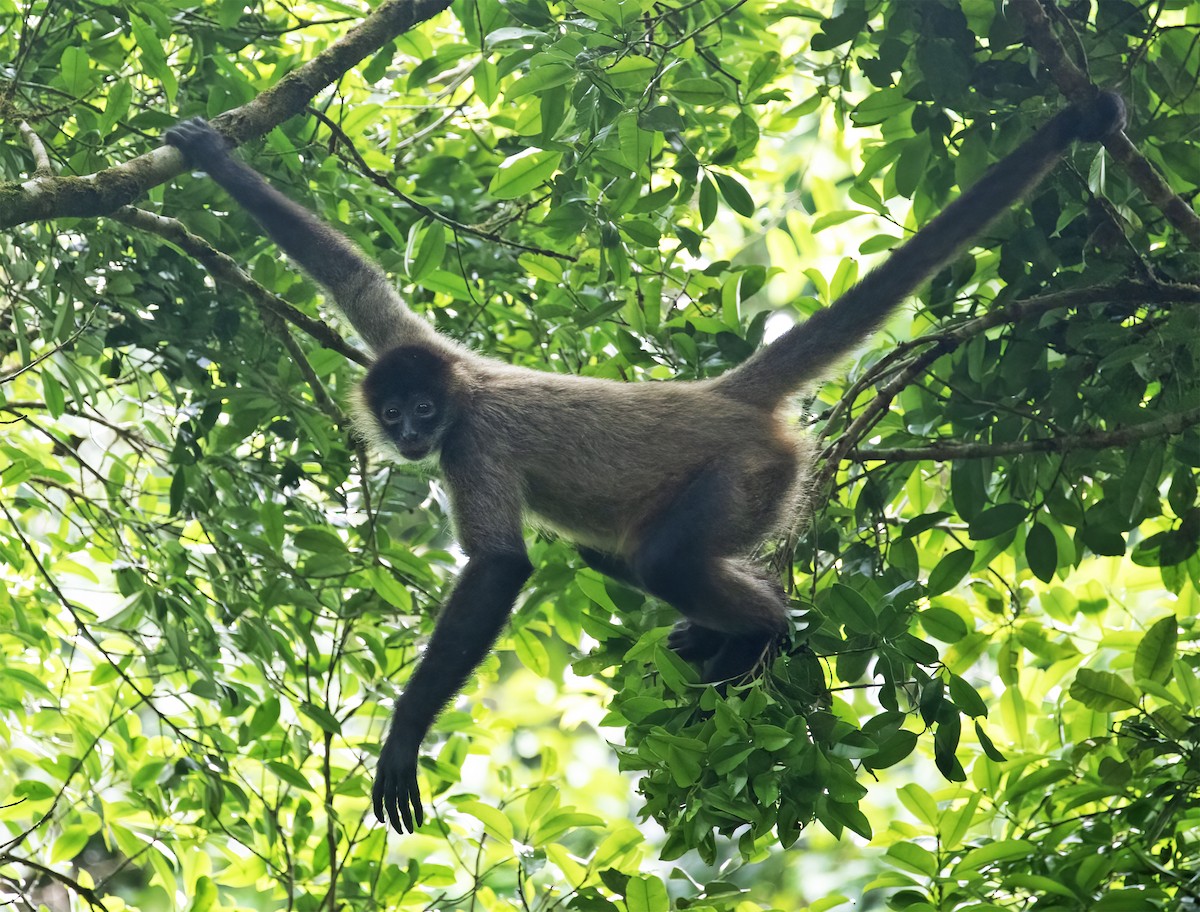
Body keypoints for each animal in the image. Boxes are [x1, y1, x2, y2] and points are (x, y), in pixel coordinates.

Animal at [163, 90, 1126, 834]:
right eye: (394, 408)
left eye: (425, 414)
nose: (406, 435)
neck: (464, 393)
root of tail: (723, 395)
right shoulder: (413, 346)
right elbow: (352, 273)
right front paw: (214, 158)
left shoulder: (472, 440)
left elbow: (501, 563)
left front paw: (402, 743)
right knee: (621, 556)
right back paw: (727, 634)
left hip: (747, 473)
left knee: (661, 559)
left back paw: (764, 635)